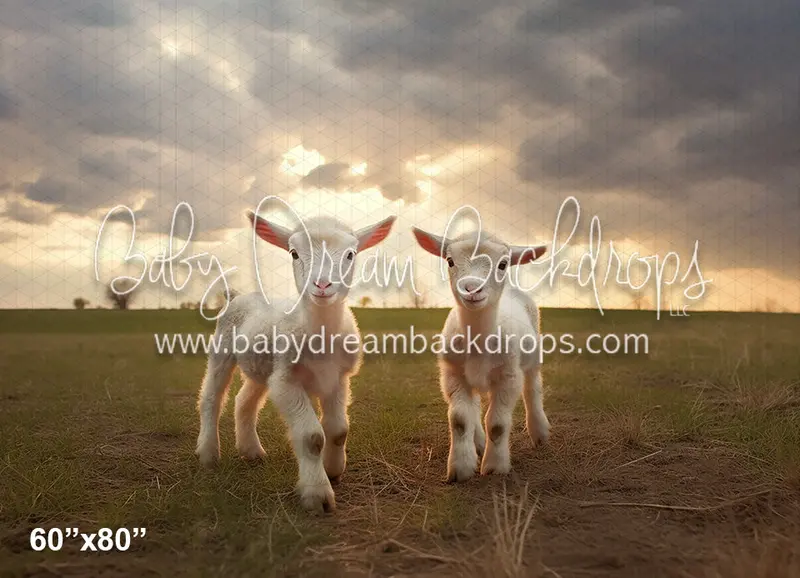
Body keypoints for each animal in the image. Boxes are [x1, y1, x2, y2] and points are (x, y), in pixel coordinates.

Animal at [195, 211, 396, 512]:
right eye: (294, 253)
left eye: (351, 254)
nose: (322, 285)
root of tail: (237, 294)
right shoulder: (287, 381)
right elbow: (312, 437)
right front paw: (317, 493)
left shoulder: (338, 379)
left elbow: (338, 430)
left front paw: (333, 470)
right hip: (222, 348)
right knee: (212, 397)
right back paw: (208, 454)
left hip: (262, 366)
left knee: (244, 401)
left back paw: (252, 451)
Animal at [411, 226, 550, 482]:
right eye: (450, 260)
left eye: (503, 264)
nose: (471, 288)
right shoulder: (452, 374)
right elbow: (460, 420)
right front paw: (461, 467)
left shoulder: (508, 376)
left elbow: (497, 424)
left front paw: (495, 467)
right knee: (473, 405)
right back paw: (477, 442)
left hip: (532, 357)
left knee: (533, 388)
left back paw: (539, 431)